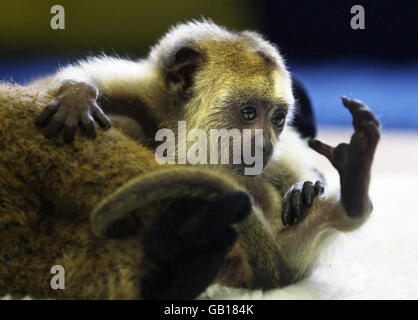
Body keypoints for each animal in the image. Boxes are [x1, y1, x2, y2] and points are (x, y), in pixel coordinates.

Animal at [0, 21, 378, 298]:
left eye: (278, 119)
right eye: (248, 112)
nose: (264, 145)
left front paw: (305, 189)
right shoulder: (143, 93)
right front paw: (77, 94)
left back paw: (354, 194)